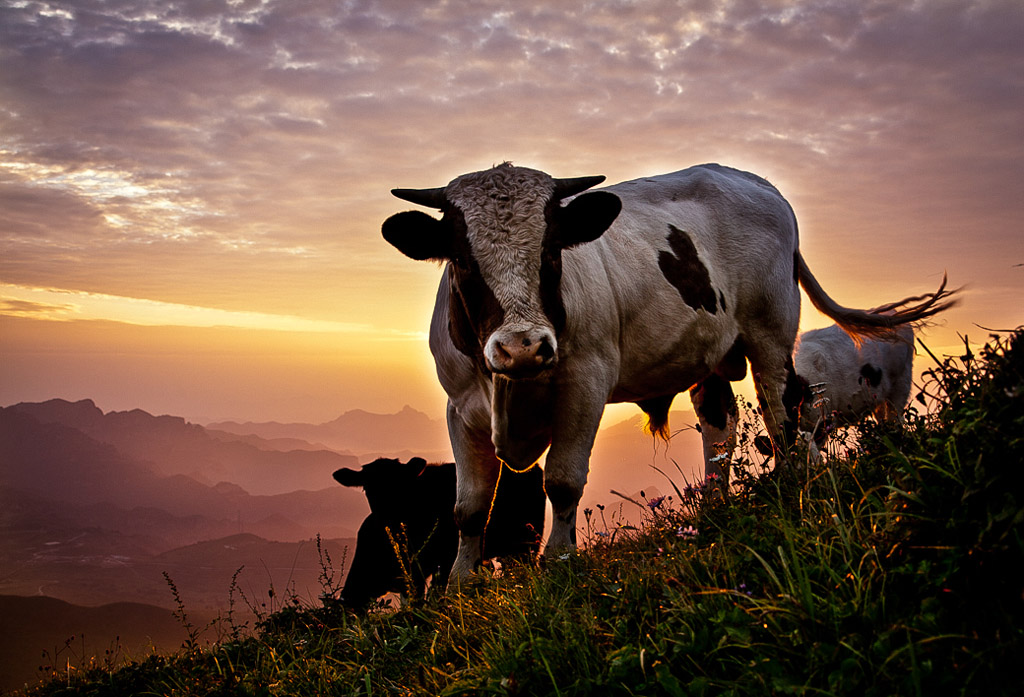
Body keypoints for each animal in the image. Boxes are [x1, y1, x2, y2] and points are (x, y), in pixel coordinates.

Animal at [380, 162, 954, 581]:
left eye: (551, 251)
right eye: (462, 259)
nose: (523, 348)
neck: (511, 387)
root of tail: (757, 182)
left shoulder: (585, 385)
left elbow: (562, 482)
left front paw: (559, 565)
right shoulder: (461, 408)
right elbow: (470, 506)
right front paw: (460, 585)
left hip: (771, 333)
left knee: (781, 416)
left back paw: (791, 491)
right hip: (710, 357)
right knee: (721, 427)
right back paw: (713, 514)